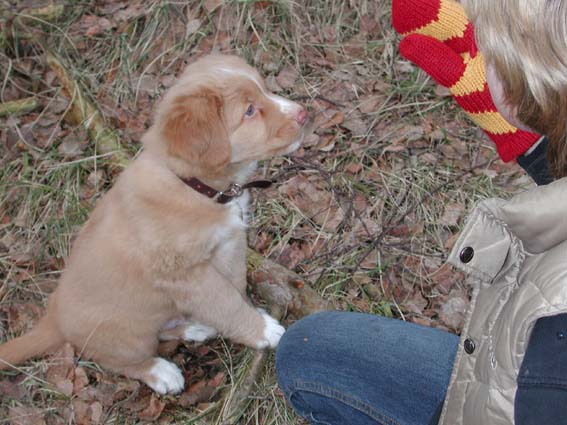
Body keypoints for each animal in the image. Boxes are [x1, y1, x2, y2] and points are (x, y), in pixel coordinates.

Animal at [0, 53, 308, 394]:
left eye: (264, 88)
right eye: (250, 111)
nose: (303, 113)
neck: (196, 187)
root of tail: (53, 320)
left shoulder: (230, 244)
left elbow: (235, 286)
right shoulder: (187, 275)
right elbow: (225, 302)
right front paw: (264, 330)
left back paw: (192, 328)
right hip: (126, 337)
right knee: (121, 361)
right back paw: (160, 372)